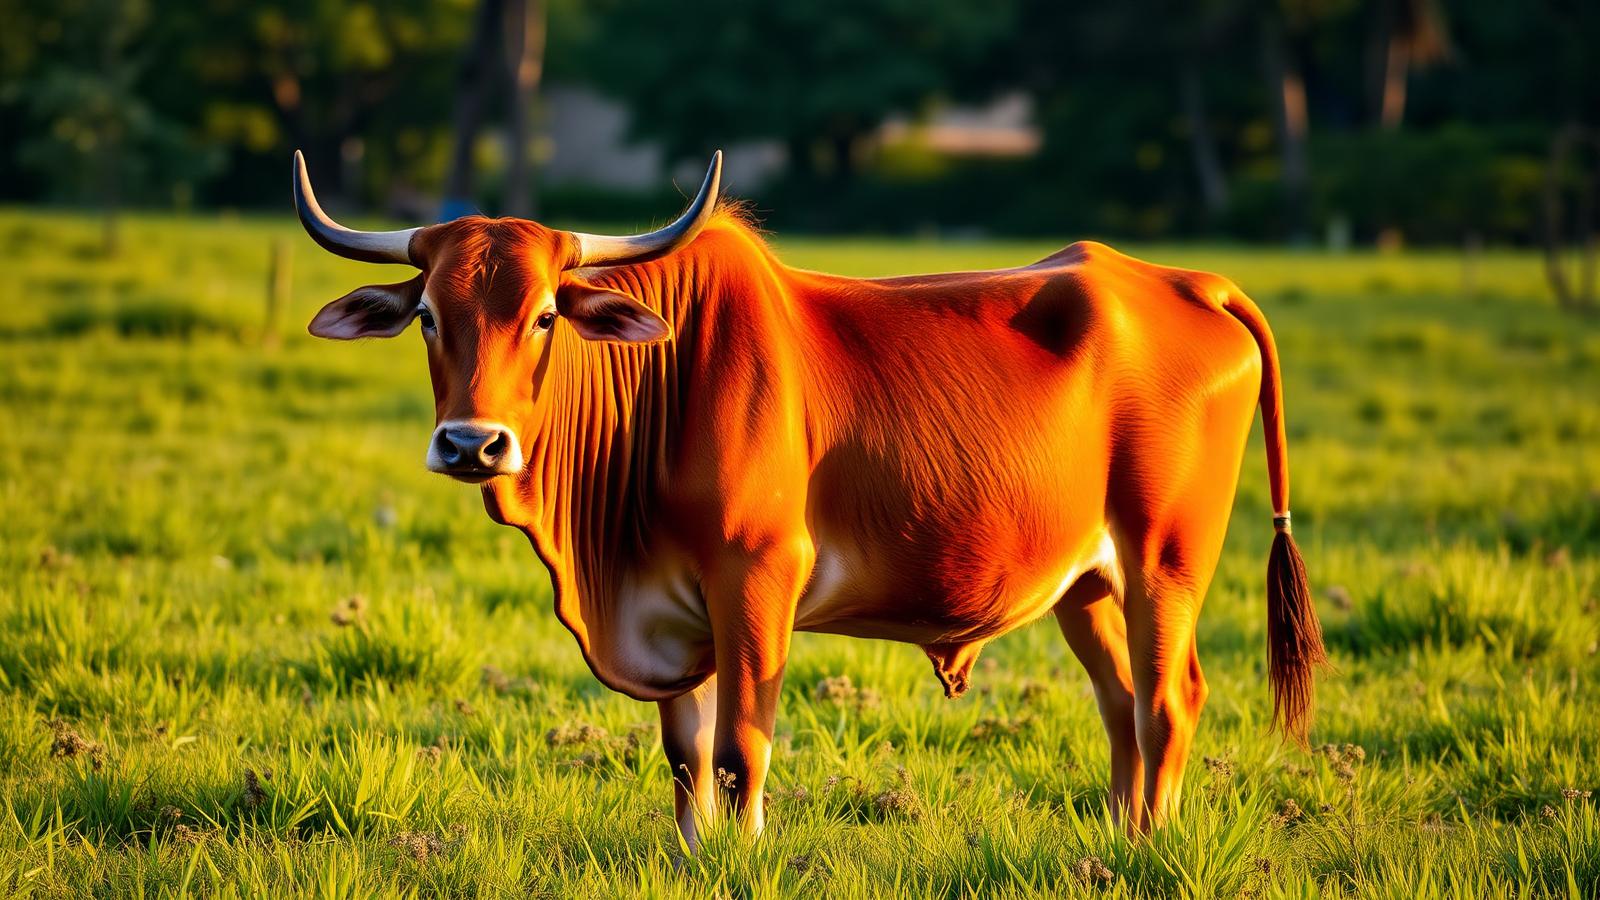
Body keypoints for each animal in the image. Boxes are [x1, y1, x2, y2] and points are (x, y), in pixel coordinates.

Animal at [292, 149, 1325, 844]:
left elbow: (741, 748)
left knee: (1169, 700)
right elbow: (686, 755)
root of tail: (1187, 281)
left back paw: (1154, 841)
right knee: (1121, 705)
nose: (473, 443)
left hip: (1164, 563)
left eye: (545, 314)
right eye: (430, 316)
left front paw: (740, 858)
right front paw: (692, 857)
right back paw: (1117, 838)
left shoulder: (756, 580)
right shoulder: (674, 614)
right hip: (1088, 584)